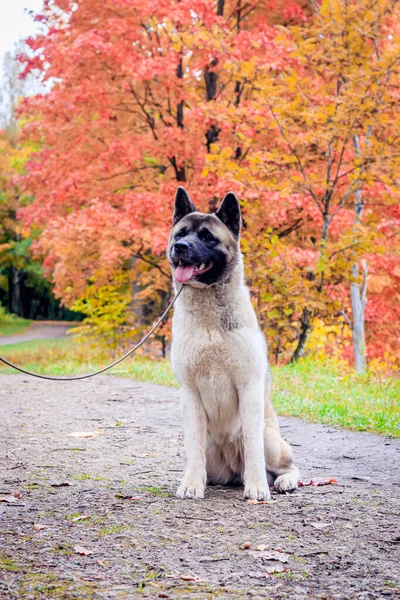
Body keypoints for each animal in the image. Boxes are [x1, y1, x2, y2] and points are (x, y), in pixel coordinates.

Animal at [166, 185, 300, 500]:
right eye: (180, 234)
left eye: (207, 237)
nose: (181, 247)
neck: (209, 320)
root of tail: (231, 472)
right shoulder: (190, 394)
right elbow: (194, 448)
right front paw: (191, 484)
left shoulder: (249, 389)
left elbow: (253, 450)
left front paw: (257, 487)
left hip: (269, 437)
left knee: (287, 465)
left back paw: (282, 481)